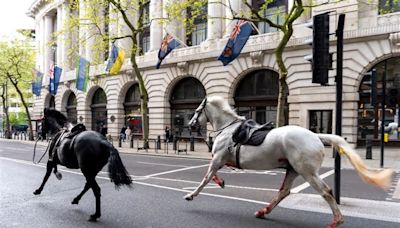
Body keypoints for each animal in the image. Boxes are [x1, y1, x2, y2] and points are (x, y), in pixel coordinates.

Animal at [185, 96, 394, 228]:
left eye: (196, 110)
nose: (190, 124)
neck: (229, 129)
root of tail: (316, 136)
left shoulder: (217, 159)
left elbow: (205, 178)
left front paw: (191, 195)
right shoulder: (221, 160)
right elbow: (213, 176)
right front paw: (220, 182)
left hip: (306, 171)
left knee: (325, 191)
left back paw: (337, 220)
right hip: (293, 169)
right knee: (284, 191)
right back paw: (263, 211)